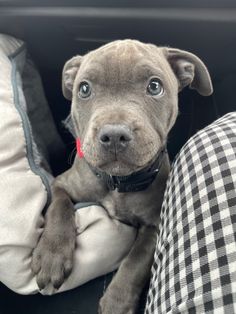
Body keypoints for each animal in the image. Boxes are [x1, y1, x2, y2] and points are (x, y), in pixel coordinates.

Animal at [30, 38, 212, 312]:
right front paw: (51, 256)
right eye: (84, 89)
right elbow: (58, 208)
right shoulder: (61, 183)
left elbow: (136, 261)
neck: (117, 183)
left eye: (155, 86)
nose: (114, 134)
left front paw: (117, 301)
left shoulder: (154, 226)